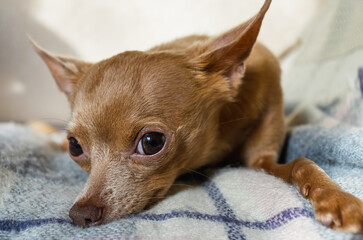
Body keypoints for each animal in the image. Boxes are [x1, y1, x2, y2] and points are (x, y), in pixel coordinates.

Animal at [30, 0, 363, 232]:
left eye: (151, 142)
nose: (80, 214)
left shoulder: (261, 161)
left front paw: (337, 198)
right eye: (75, 147)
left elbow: (302, 163)